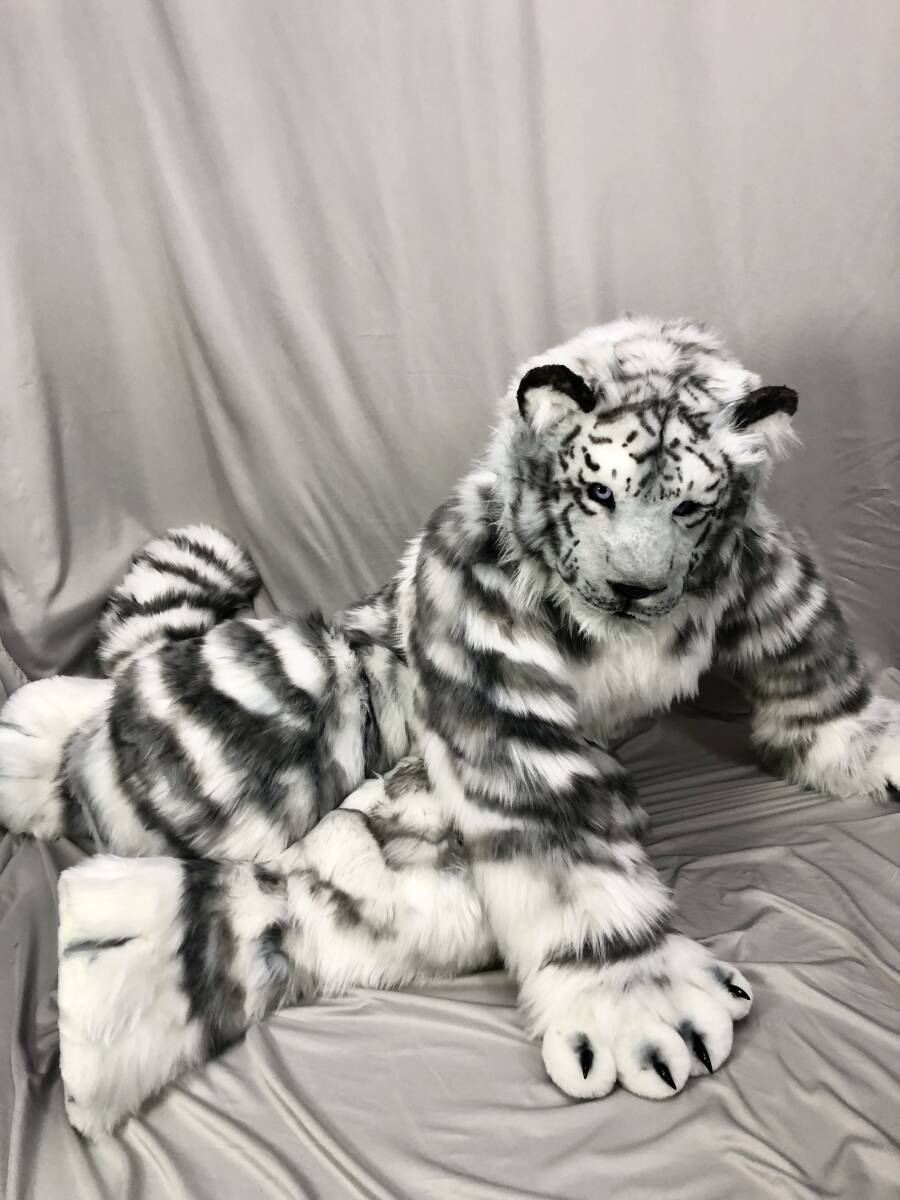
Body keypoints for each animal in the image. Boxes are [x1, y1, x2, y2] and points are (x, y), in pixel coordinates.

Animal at [1, 316, 897, 1137]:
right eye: (598, 494)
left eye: (688, 507)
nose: (635, 588)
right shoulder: (489, 659)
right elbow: (566, 844)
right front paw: (641, 1006)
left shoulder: (766, 577)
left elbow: (818, 678)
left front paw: (873, 746)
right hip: (284, 698)